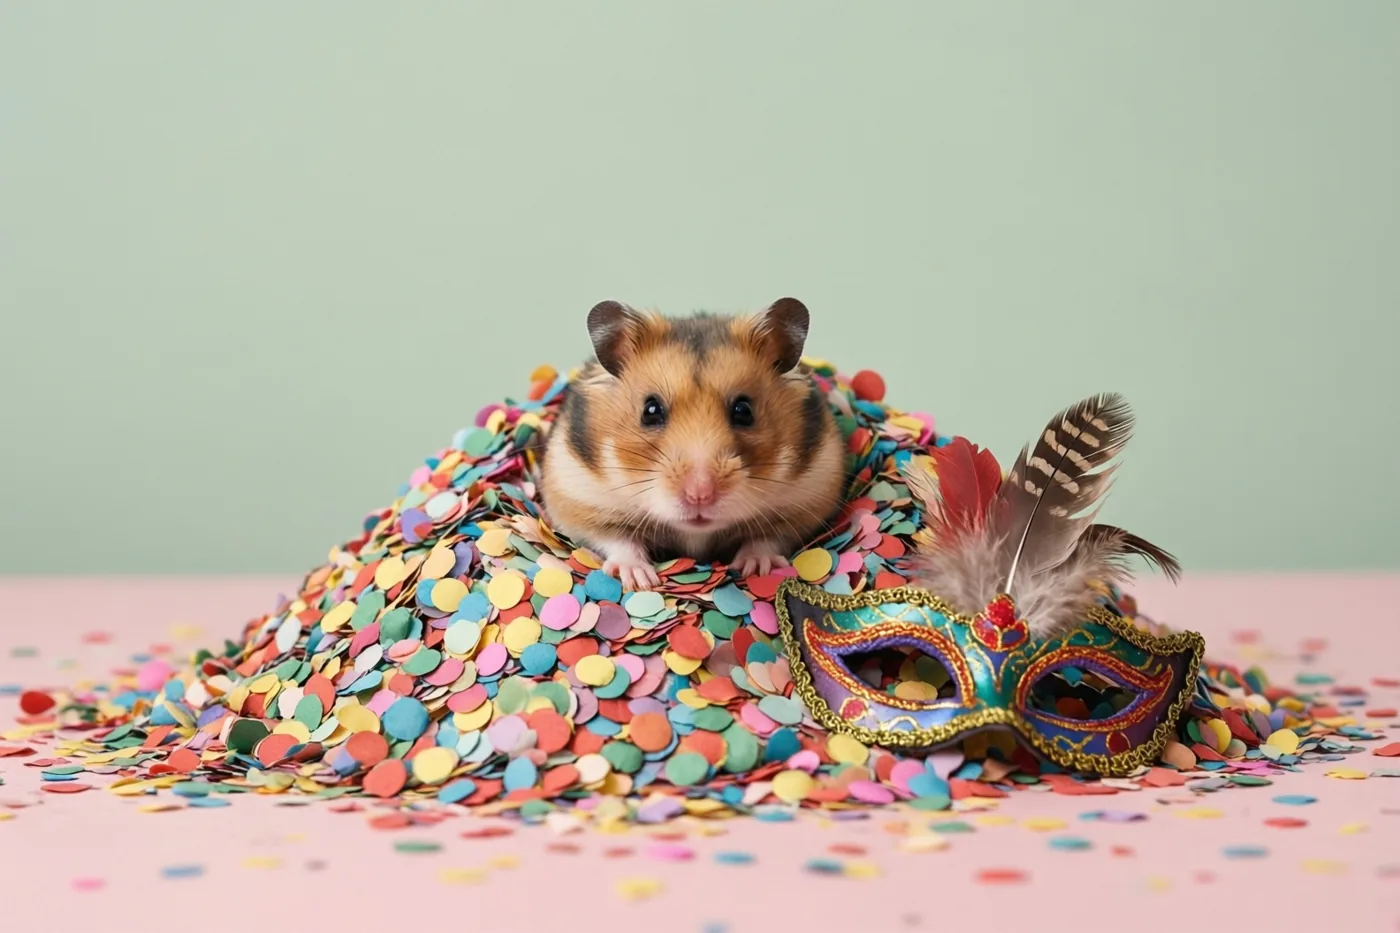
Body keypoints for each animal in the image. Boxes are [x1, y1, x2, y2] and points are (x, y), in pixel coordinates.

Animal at [540, 298, 846, 591]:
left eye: (744, 410)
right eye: (650, 410)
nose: (700, 495)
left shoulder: (806, 500)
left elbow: (767, 537)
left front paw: (757, 567)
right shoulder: (580, 498)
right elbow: (617, 540)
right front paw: (640, 579)